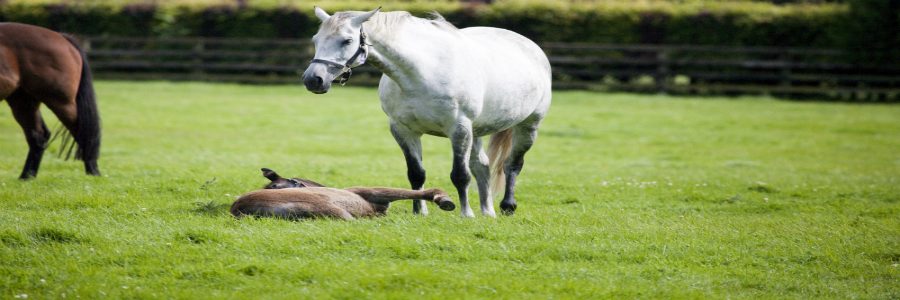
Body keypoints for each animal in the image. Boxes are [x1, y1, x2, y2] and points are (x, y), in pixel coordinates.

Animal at [0, 23, 102, 179]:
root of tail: (62, 38)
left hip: (61, 102)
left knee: (83, 131)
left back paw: (93, 173)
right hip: (23, 102)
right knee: (38, 136)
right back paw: (26, 177)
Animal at [302, 8, 552, 217]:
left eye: (347, 40)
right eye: (316, 40)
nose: (313, 79)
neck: (423, 72)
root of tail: (530, 46)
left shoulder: (459, 129)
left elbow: (460, 175)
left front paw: (466, 214)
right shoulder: (404, 130)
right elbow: (416, 173)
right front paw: (419, 211)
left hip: (528, 126)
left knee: (512, 164)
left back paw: (507, 206)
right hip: (477, 131)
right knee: (482, 166)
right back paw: (487, 212)